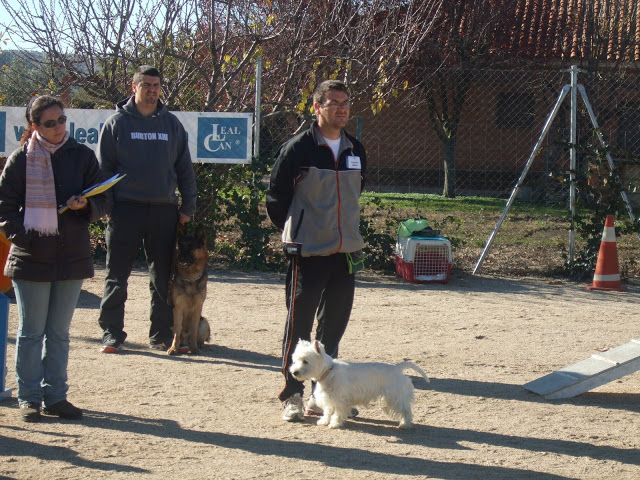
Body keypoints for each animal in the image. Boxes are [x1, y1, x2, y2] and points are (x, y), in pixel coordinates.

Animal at [168, 223, 210, 354]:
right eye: (180, 246)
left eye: (191, 247)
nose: (180, 258)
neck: (190, 278)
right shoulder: (177, 309)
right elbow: (176, 333)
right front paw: (173, 348)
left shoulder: (197, 308)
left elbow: (194, 331)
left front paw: (195, 349)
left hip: (204, 321)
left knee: (198, 336)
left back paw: (198, 344)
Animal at [290, 340, 430, 430]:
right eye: (295, 360)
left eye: (305, 361)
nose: (294, 372)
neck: (328, 371)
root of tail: (397, 367)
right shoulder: (328, 398)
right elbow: (327, 411)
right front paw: (323, 421)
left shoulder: (340, 400)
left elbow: (337, 413)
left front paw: (335, 424)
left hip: (395, 396)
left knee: (406, 410)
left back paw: (405, 424)